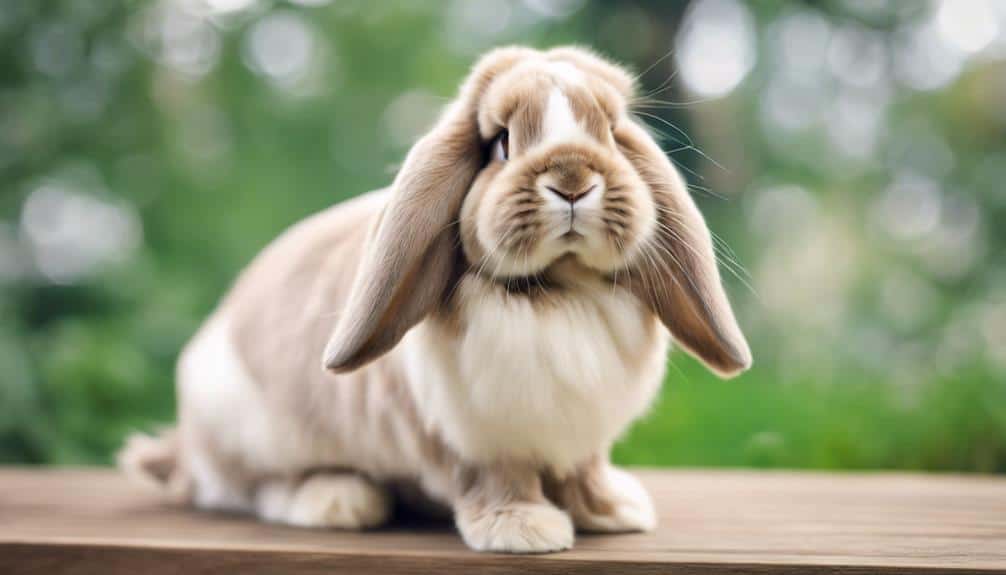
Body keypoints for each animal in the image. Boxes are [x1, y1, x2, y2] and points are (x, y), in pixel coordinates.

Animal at [119, 45, 751, 554]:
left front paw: (613, 511)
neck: (556, 293)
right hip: (247, 434)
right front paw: (522, 530)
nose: (573, 180)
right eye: (500, 143)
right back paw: (337, 501)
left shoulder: (581, 436)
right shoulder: (472, 434)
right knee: (248, 490)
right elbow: (498, 475)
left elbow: (583, 470)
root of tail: (183, 444)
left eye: (613, 133)